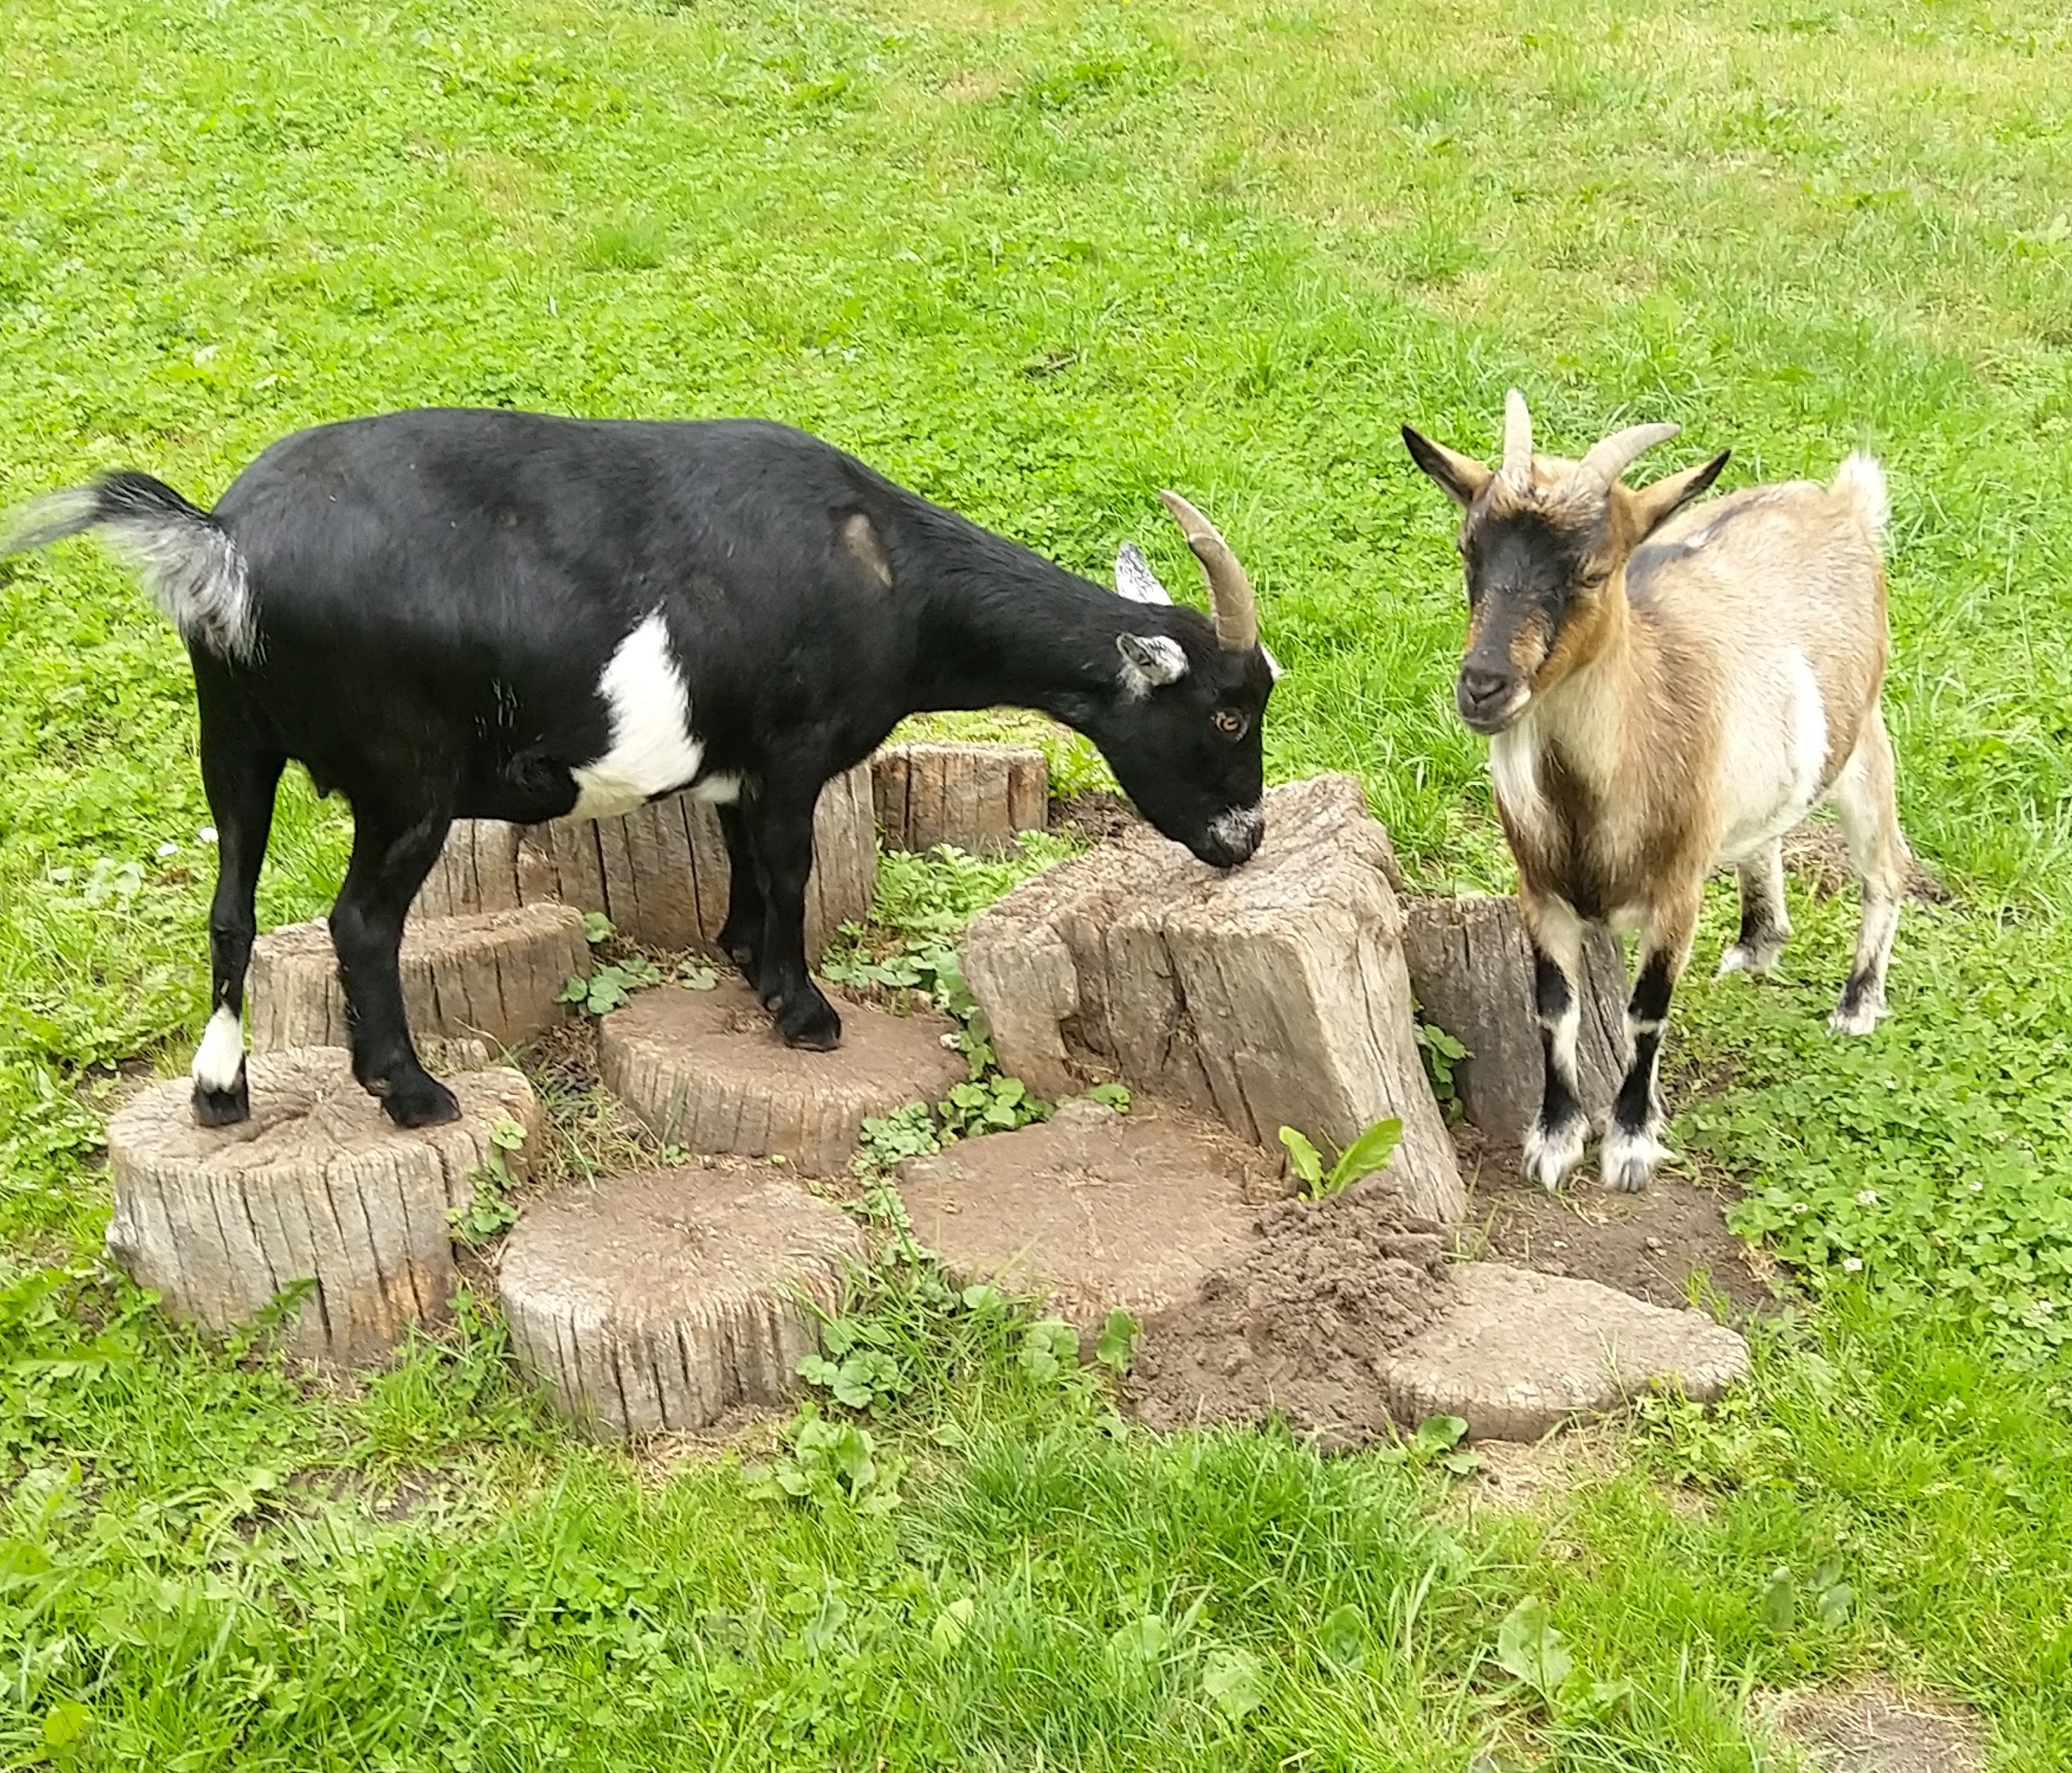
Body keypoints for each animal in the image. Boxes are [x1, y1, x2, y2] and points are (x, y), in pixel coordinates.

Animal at [4, 410, 1276, 1130]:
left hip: (233, 740)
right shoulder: (793, 753)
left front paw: (742, 965)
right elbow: (789, 870)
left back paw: (222, 1096)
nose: (1248, 838)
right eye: (1225, 713)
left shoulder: (736, 764)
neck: (889, 575)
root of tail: (223, 541)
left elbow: (743, 866)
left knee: (230, 908)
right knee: (359, 921)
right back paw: (411, 1094)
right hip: (408, 777)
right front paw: (804, 1013)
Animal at [1402, 392, 1907, 1193]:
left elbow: (1646, 1013)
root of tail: (1841, 503)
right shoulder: (1539, 892)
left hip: (1863, 741)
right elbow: (1554, 1009)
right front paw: (1554, 1138)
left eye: (1592, 571)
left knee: (1886, 865)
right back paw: (1757, 945)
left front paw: (1630, 1144)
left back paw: (1857, 1005)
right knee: (1768, 834)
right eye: (1467, 550)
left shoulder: (1675, 895)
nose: (1483, 685)